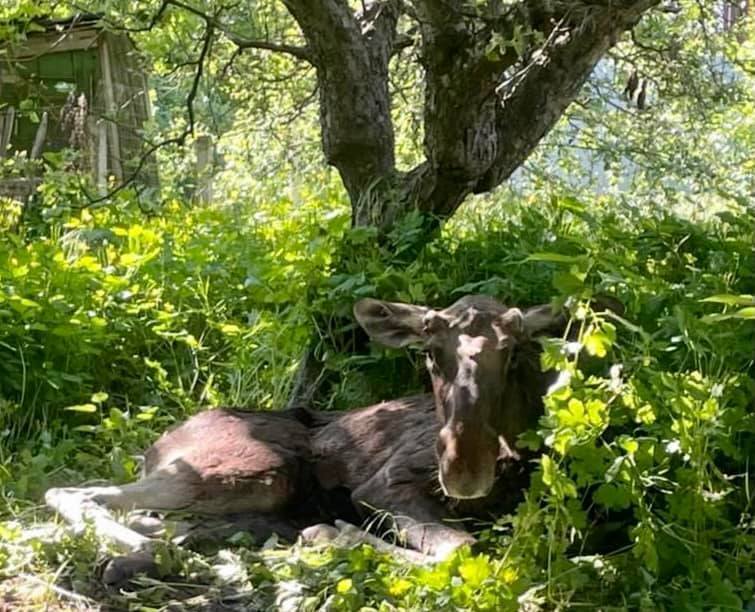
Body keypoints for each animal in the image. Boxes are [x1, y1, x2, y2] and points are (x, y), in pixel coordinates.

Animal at [47, 296, 608, 584]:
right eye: (430, 352)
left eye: (513, 353)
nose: (463, 467)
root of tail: (158, 443)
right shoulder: (383, 484)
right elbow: (463, 549)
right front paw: (337, 536)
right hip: (254, 470)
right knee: (72, 491)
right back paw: (150, 552)